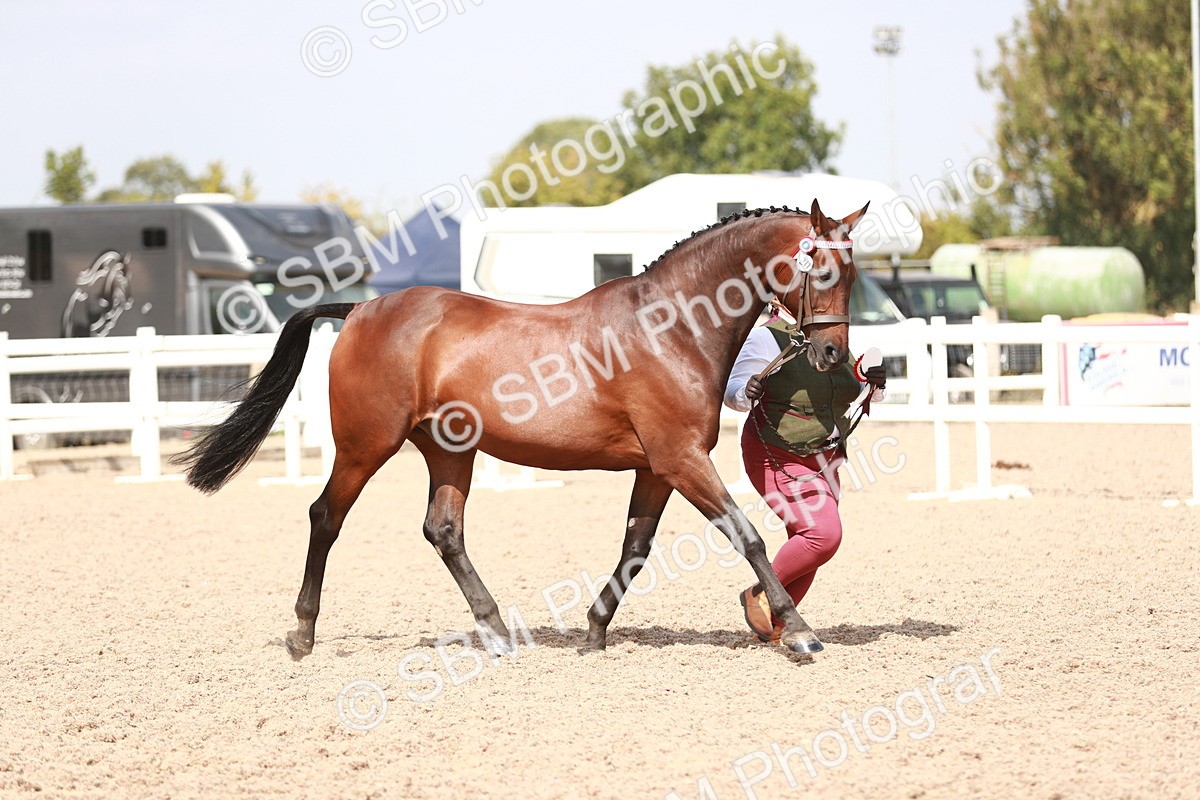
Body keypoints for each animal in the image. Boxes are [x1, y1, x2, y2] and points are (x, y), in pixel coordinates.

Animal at [175, 198, 869, 658]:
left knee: (443, 530)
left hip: (448, 452)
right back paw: (302, 633)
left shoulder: (657, 467)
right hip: (365, 445)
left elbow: (636, 548)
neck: (670, 326)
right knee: (326, 517)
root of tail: (363, 307)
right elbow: (746, 535)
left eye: (855, 274)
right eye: (820, 272)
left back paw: (495, 631)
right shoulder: (681, 460)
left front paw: (594, 631)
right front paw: (799, 632)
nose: (832, 356)